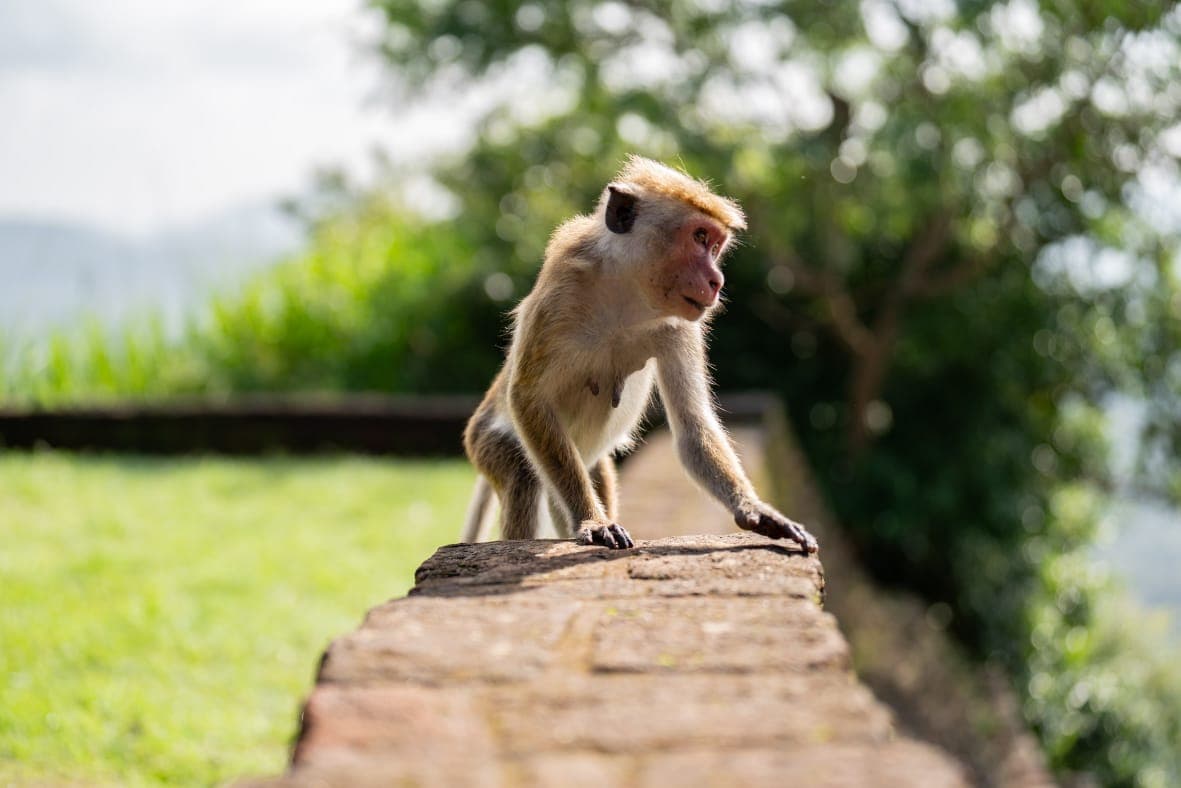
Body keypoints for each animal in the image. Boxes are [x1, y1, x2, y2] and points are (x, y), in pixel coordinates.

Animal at [461, 155, 818, 553]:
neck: (626, 294)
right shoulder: (561, 292)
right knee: (523, 472)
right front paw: (593, 520)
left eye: (715, 247)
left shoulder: (681, 328)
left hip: (585, 459)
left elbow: (692, 424)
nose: (717, 281)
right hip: (487, 443)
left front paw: (755, 511)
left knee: (592, 472)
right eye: (699, 237)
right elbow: (528, 398)